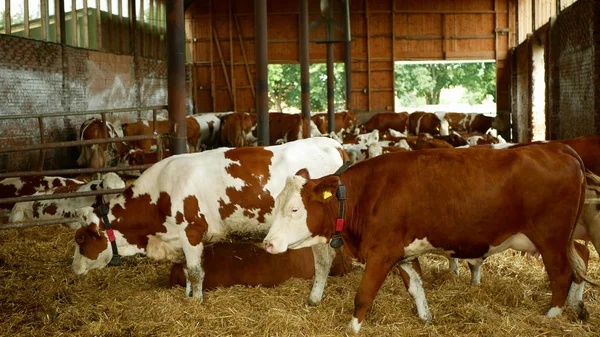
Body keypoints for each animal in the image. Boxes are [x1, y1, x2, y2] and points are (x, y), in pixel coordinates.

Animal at [73, 136, 350, 304]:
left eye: (81, 238)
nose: (73, 268)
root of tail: (331, 144)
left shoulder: (191, 231)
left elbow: (196, 272)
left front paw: (196, 302)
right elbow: (187, 269)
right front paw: (188, 297)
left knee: (324, 261)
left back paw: (314, 298)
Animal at [266, 142, 592, 334]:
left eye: (294, 208)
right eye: (277, 202)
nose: (267, 243)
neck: (368, 194)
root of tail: (556, 147)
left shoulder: (381, 253)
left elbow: (364, 295)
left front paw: (352, 328)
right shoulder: (403, 254)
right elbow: (416, 287)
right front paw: (426, 319)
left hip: (550, 239)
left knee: (562, 274)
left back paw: (550, 316)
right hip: (563, 239)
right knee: (578, 265)